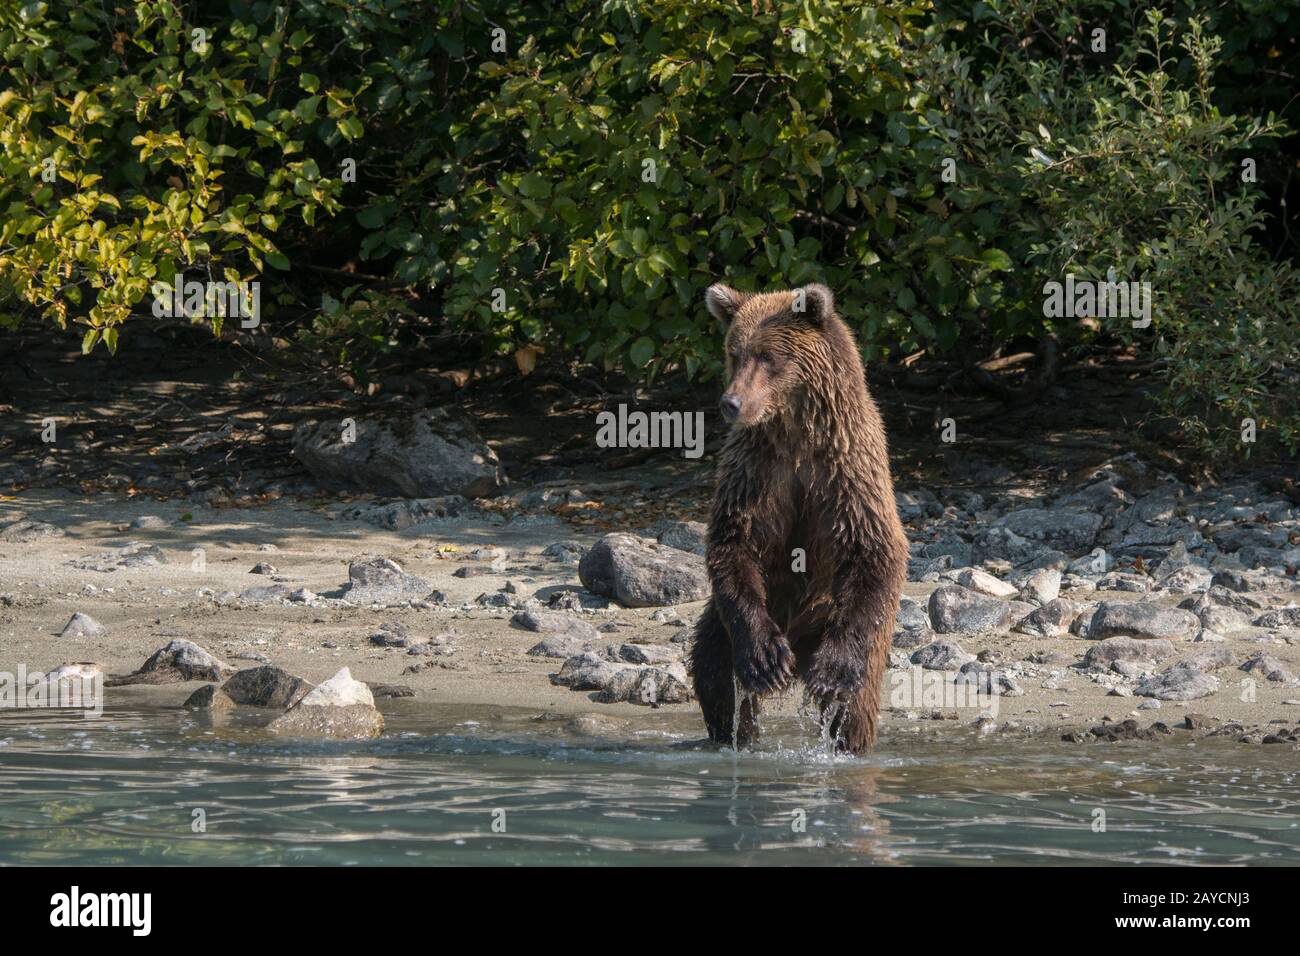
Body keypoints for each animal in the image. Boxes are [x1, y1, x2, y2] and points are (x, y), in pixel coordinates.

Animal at [690, 281, 909, 753]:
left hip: (838, 622)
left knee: (855, 704)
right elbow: (733, 542)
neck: (795, 431)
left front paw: (833, 672)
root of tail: (801, 641)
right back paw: (734, 731)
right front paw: (765, 661)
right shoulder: (755, 472)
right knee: (713, 668)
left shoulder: (849, 470)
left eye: (768, 356)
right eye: (734, 352)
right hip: (736, 616)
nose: (732, 402)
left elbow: (875, 548)